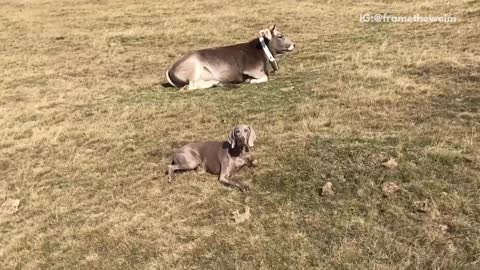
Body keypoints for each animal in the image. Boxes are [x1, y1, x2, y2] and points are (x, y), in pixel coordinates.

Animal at [165, 24, 294, 89]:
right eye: (280, 36)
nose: (294, 44)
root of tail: (170, 68)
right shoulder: (252, 70)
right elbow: (264, 78)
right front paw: (250, 81)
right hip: (194, 69)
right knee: (192, 86)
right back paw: (214, 82)